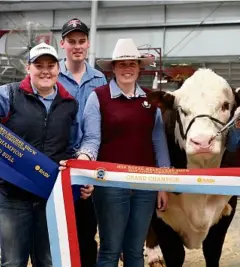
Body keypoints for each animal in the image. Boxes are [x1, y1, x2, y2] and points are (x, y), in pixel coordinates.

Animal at [145, 68, 239, 267]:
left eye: (226, 105)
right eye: (182, 109)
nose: (202, 141)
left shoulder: (228, 207)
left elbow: (212, 251)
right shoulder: (160, 215)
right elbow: (175, 254)